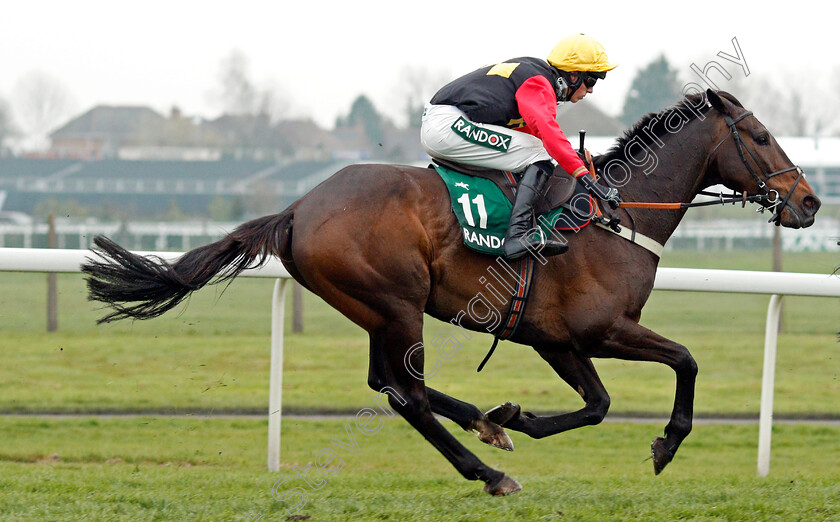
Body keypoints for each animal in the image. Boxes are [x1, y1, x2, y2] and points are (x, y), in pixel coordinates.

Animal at [83, 89, 820, 492]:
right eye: (760, 136)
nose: (810, 203)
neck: (615, 214)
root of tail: (296, 208)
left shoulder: (556, 340)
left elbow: (598, 404)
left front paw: (514, 416)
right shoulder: (599, 329)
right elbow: (684, 361)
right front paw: (665, 443)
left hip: (376, 309)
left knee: (387, 383)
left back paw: (483, 426)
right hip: (395, 301)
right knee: (404, 393)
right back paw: (488, 472)